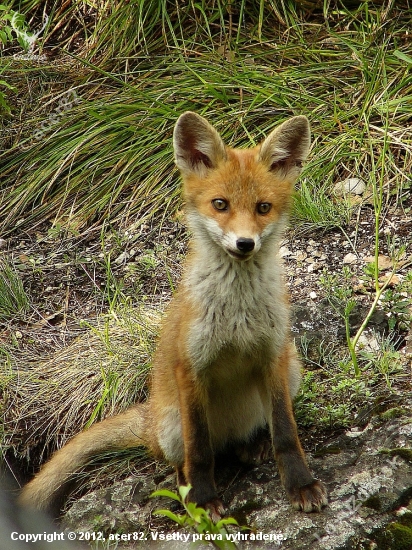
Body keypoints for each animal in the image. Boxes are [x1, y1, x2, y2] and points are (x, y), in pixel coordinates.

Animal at [19, 111, 328, 520]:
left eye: (263, 208)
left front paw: (300, 484)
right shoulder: (190, 366)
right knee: (187, 459)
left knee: (246, 439)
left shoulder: (273, 355)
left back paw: (253, 444)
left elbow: (286, 434)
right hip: (171, 425)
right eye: (220, 204)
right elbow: (199, 451)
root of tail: (148, 418)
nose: (244, 243)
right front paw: (203, 500)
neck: (236, 314)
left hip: (293, 369)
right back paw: (188, 486)